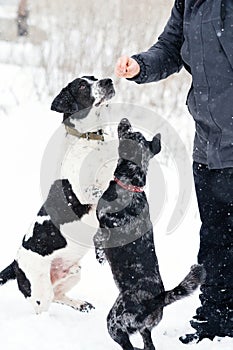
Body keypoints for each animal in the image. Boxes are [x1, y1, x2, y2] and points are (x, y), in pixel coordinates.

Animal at [93, 119, 206, 350]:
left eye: (129, 133)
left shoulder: (103, 227)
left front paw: (99, 258)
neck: (131, 184)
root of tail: (158, 299)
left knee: (126, 344)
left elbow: (96, 240)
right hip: (145, 328)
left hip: (115, 322)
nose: (124, 120)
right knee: (148, 345)